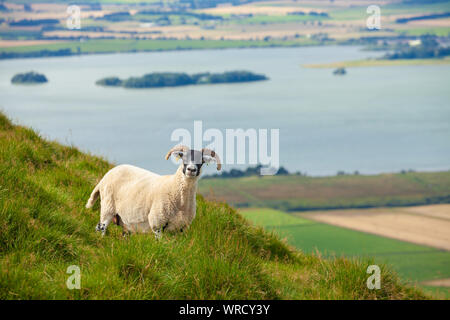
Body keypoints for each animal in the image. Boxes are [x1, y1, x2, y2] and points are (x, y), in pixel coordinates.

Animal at [85, 145, 221, 238]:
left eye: (201, 161)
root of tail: (105, 176)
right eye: (184, 158)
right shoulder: (157, 223)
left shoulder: (180, 229)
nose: (191, 170)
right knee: (101, 227)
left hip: (124, 220)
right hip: (108, 206)